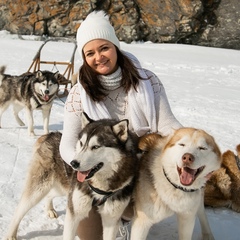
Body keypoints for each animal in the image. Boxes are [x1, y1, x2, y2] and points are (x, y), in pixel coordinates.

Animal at [5, 113, 139, 240]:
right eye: (81, 143)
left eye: (95, 147)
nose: (74, 163)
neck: (100, 186)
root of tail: (50, 135)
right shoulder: (73, 214)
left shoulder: (111, 220)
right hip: (39, 189)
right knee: (19, 210)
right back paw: (11, 234)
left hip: (62, 187)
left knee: (50, 195)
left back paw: (50, 209)